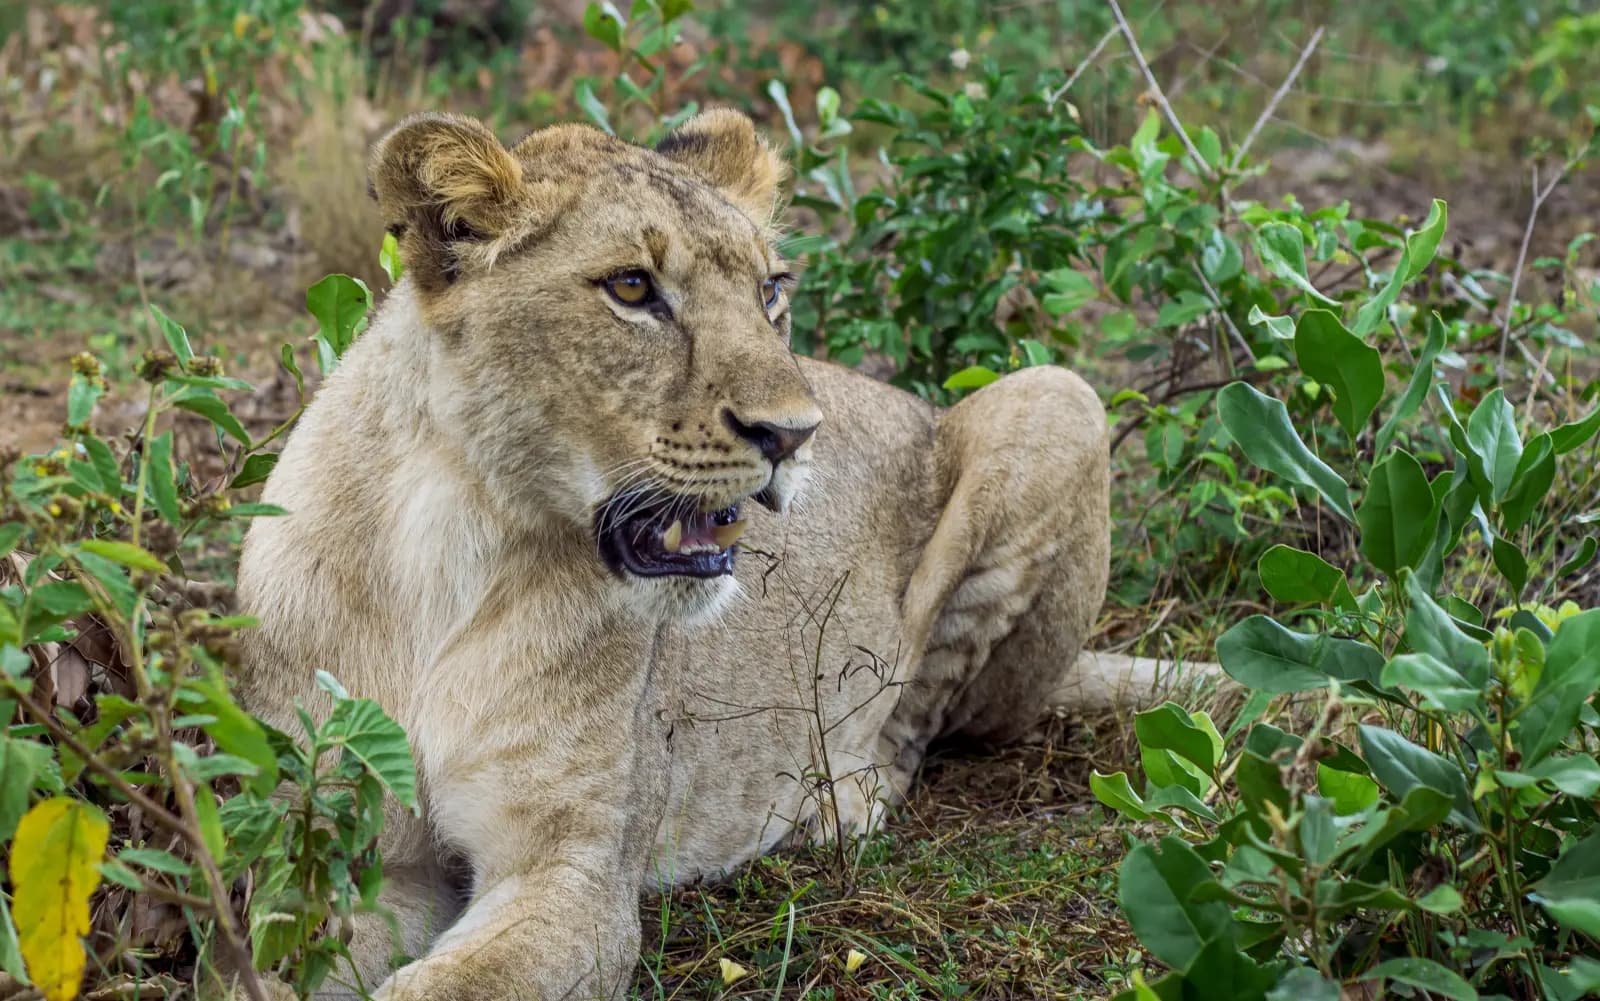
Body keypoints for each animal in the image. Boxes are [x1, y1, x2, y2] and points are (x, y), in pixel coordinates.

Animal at [235, 108, 1187, 1000]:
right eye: (632, 286)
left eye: (770, 291)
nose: (794, 435)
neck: (455, 535)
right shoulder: (342, 856)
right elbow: (268, 962)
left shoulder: (575, 874)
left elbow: (456, 983)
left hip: (1059, 398)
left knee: (919, 717)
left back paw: (837, 802)